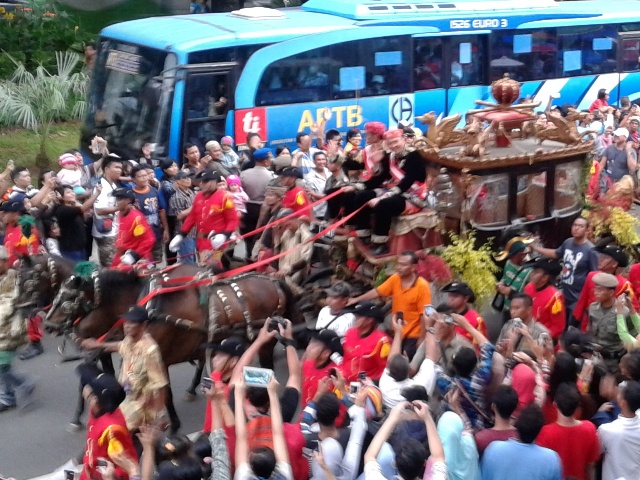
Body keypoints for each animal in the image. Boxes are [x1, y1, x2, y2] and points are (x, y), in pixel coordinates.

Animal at [47, 266, 302, 432]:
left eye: (68, 300)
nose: (48, 323)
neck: (147, 307)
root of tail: (273, 280)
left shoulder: (158, 357)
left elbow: (163, 391)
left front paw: (173, 424)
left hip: (265, 341)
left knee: (265, 365)